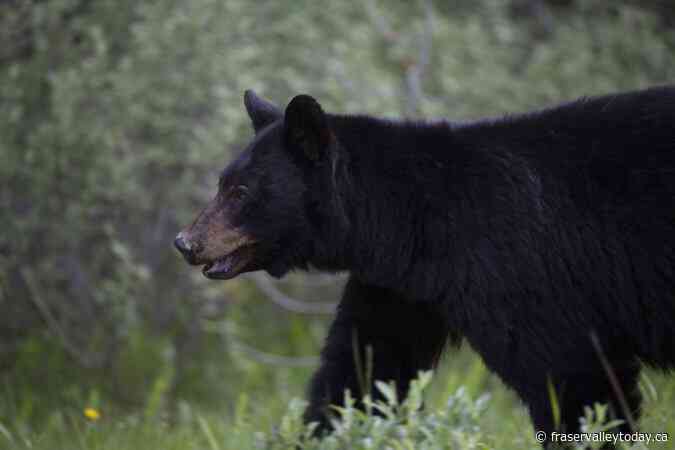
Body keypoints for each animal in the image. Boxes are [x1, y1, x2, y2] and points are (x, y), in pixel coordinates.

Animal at [174, 86, 675, 446]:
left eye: (240, 192)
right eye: (222, 183)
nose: (185, 242)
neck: (414, 222)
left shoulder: (518, 269)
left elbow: (573, 377)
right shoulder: (401, 289)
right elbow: (365, 371)